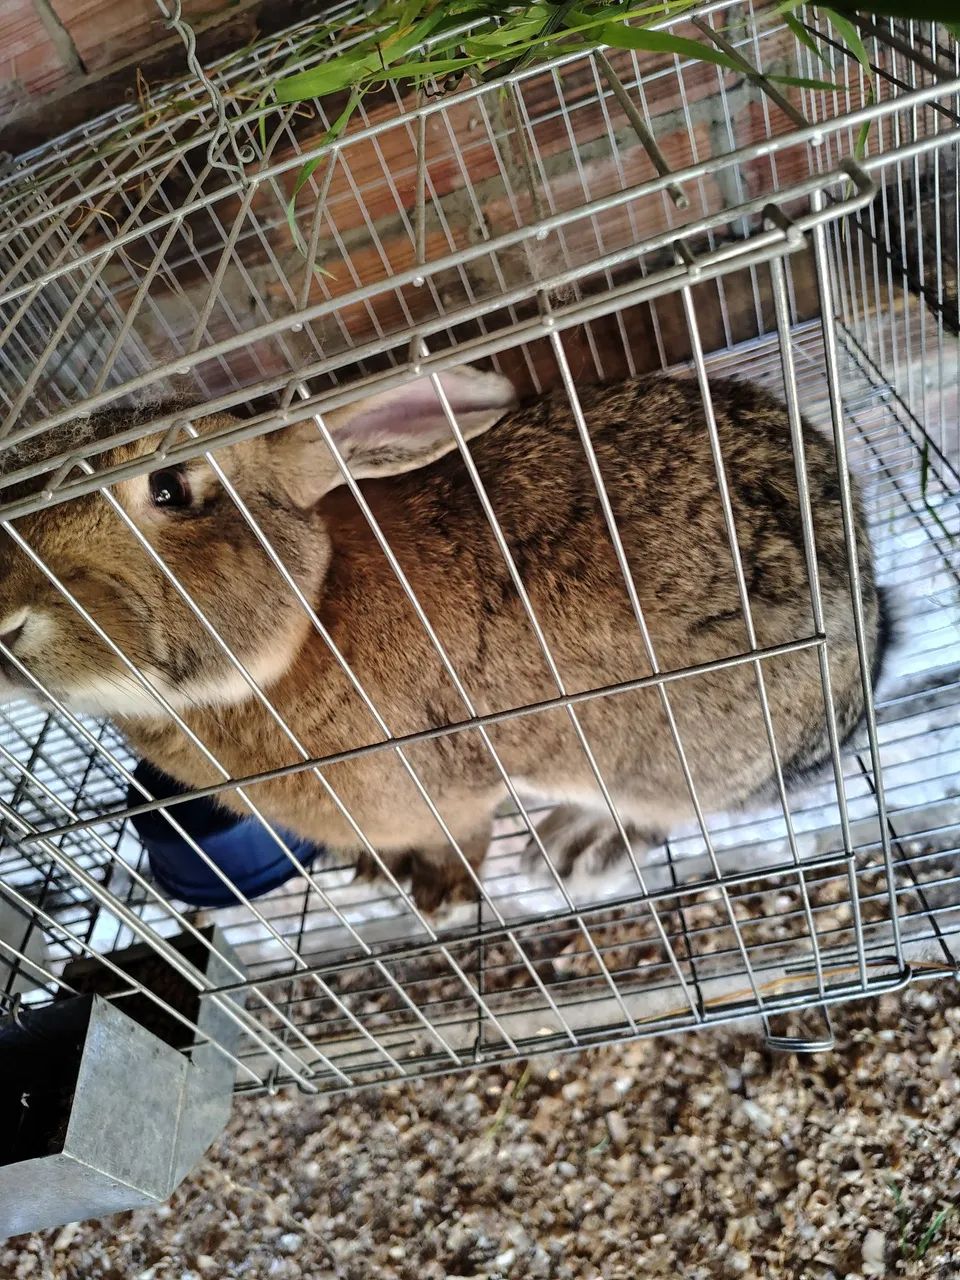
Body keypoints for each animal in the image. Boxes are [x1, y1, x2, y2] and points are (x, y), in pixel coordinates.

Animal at [0, 366, 886, 912]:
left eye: (170, 489)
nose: (2, 615)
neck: (305, 621)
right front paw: (377, 874)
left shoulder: (449, 790)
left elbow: (462, 840)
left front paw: (444, 898)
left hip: (679, 749)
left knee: (675, 805)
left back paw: (577, 845)